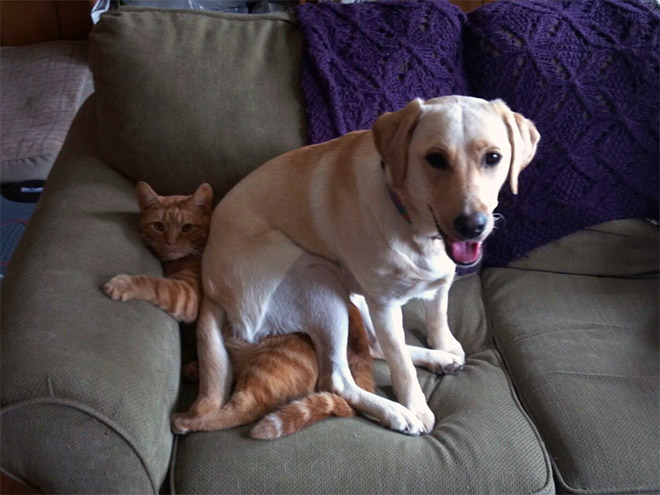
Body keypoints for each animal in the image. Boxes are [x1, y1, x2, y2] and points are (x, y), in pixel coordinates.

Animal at [102, 181, 372, 438]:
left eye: (186, 228)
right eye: (158, 226)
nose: (170, 242)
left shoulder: (188, 295)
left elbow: (152, 283)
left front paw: (121, 284)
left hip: (265, 368)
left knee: (241, 410)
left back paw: (185, 420)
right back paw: (192, 370)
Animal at [173, 95, 540, 436]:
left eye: (493, 157)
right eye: (436, 159)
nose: (472, 226)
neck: (411, 224)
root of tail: (210, 285)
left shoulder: (436, 284)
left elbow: (437, 317)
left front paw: (444, 345)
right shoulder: (385, 306)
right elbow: (400, 365)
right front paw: (416, 407)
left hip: (353, 293)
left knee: (374, 347)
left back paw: (440, 360)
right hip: (319, 280)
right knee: (337, 379)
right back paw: (396, 412)